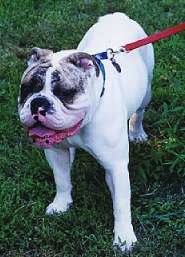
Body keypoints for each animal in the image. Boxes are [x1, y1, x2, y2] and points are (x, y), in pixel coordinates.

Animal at [18, 12, 155, 250]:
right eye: (27, 89)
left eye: (65, 93)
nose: (38, 103)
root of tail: (118, 15)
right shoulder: (56, 152)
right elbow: (62, 179)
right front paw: (61, 204)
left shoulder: (117, 166)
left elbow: (121, 203)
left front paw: (124, 237)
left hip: (146, 91)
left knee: (139, 112)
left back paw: (137, 133)